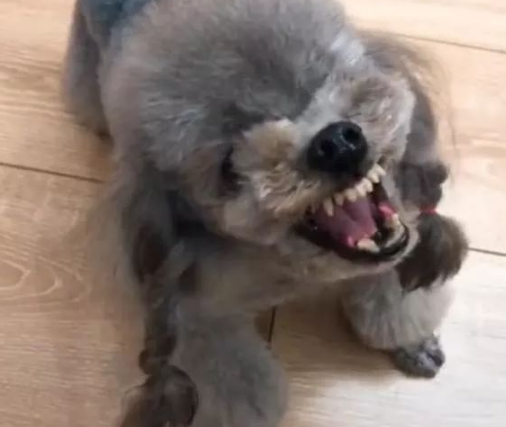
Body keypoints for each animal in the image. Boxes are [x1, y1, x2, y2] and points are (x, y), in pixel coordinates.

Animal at [63, 1, 469, 426]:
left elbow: (394, 304)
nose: (336, 143)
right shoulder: (197, 313)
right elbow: (238, 385)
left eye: (331, 79)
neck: (293, 267)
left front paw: (413, 342)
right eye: (228, 166)